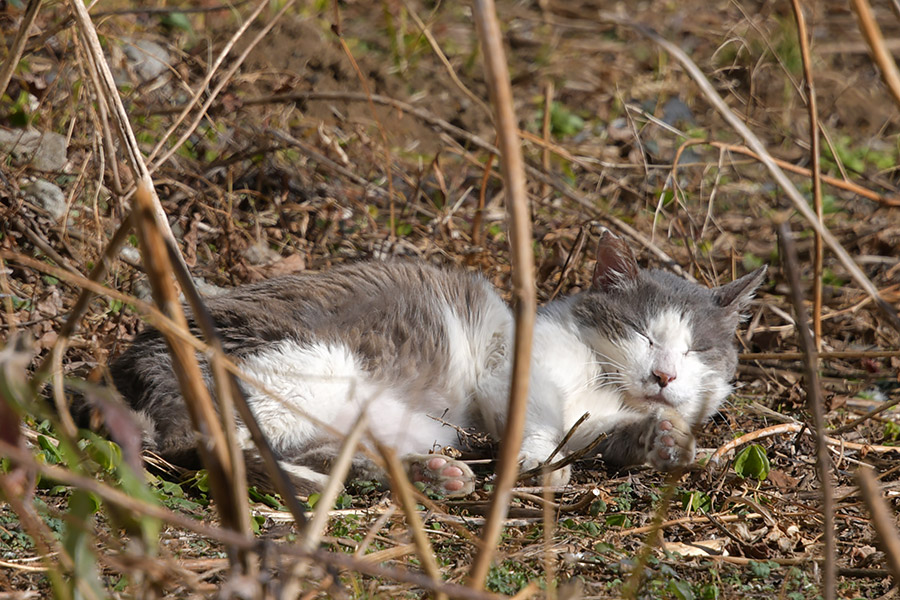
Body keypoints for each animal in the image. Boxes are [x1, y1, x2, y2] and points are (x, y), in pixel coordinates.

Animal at [107, 232, 768, 500]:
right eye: (640, 333)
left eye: (696, 350)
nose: (664, 376)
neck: (604, 385)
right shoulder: (512, 374)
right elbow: (541, 426)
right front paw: (539, 466)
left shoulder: (597, 420)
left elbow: (603, 437)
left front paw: (663, 439)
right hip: (305, 368)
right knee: (220, 446)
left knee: (323, 452)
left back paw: (429, 475)